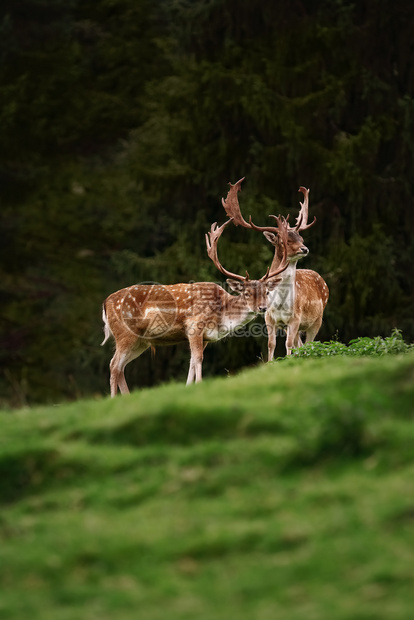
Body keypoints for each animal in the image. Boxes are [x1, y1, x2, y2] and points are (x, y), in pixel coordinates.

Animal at [100, 216, 290, 394]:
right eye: (247, 293)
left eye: (266, 292)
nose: (262, 308)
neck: (221, 314)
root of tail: (105, 303)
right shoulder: (194, 325)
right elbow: (198, 359)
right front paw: (199, 385)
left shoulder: (205, 337)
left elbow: (191, 362)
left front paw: (189, 387)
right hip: (125, 333)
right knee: (113, 364)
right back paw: (114, 399)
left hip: (141, 342)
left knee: (121, 367)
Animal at [222, 177, 332, 358]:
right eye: (284, 241)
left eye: (301, 238)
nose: (305, 248)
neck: (280, 303)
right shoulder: (270, 318)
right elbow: (271, 344)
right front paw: (271, 362)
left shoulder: (295, 318)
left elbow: (288, 345)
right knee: (300, 344)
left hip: (317, 320)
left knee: (308, 344)